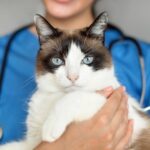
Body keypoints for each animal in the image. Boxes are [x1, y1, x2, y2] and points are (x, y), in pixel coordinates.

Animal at [0, 12, 150, 150]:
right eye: (57, 61)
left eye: (87, 60)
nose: (73, 77)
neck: (57, 96)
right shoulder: (30, 144)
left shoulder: (126, 111)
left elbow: (77, 96)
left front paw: (50, 127)